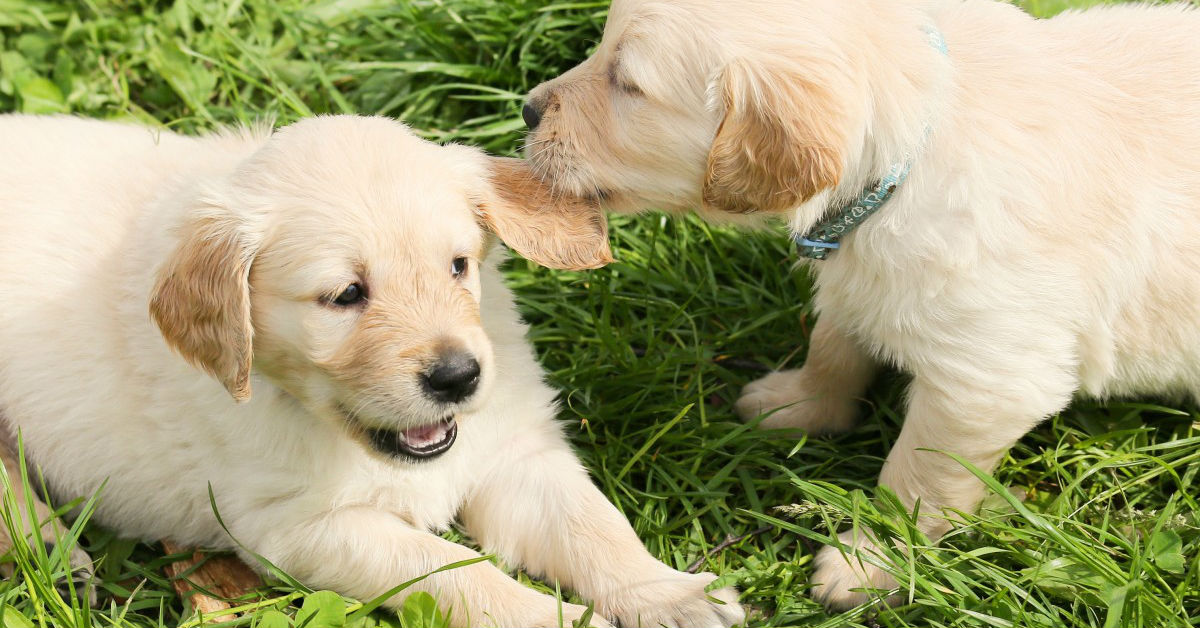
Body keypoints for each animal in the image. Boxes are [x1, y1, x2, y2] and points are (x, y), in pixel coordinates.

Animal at [0, 114, 744, 628]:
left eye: (459, 265)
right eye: (345, 296)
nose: (457, 378)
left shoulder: (515, 452)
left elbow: (595, 526)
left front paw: (672, 594)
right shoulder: (299, 527)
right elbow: (452, 570)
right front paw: (550, 618)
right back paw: (53, 553)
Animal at [520, 0, 1200, 612]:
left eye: (628, 83)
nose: (525, 109)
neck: (906, 157)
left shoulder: (986, 383)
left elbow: (916, 483)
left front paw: (871, 564)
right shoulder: (855, 276)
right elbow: (833, 345)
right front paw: (800, 405)